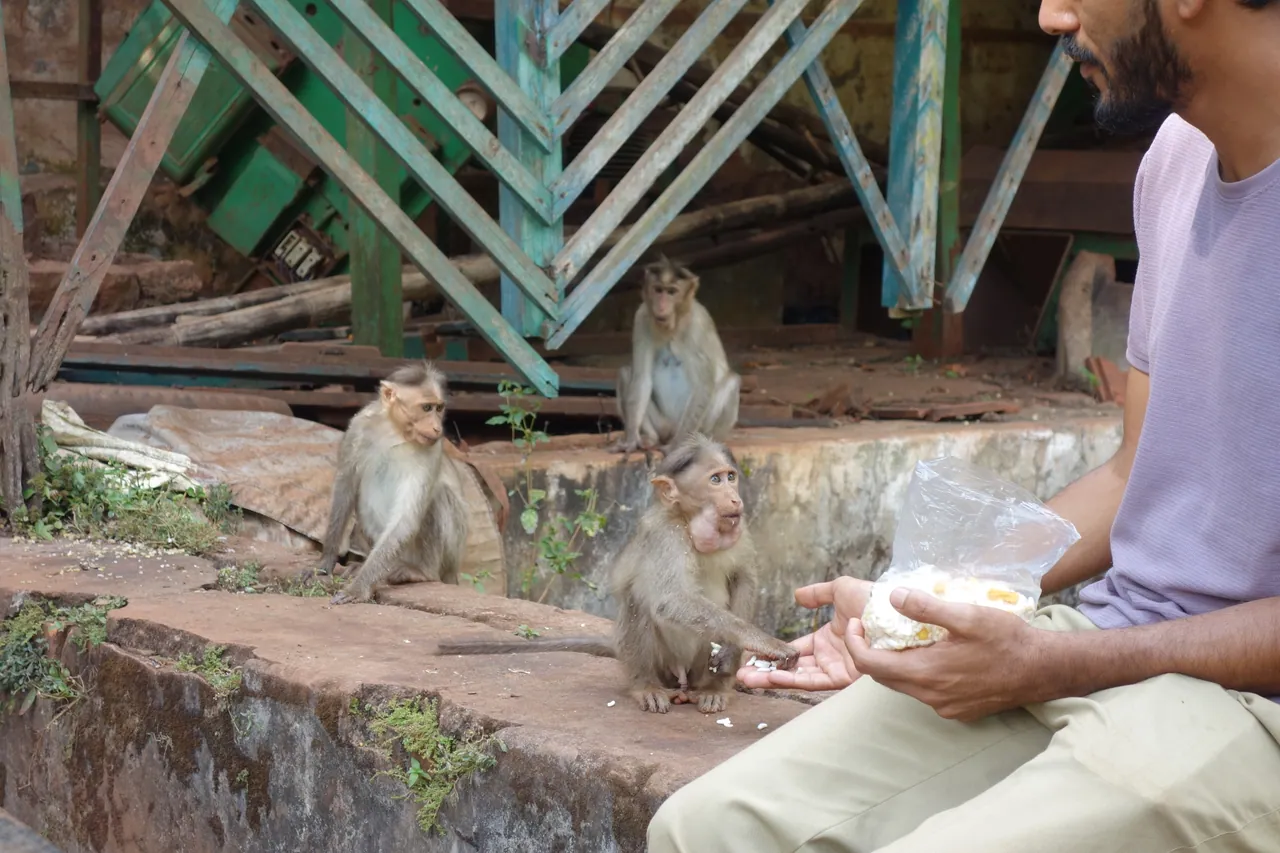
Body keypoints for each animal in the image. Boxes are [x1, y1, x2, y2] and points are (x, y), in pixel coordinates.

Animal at [314, 361, 469, 606]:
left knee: (438, 496)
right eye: (426, 408)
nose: (437, 428)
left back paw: (421, 572)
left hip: (450, 556)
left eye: (439, 408)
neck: (395, 432)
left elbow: (406, 518)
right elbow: (345, 488)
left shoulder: (433, 448)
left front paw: (358, 588)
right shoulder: (358, 426)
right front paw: (326, 562)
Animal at [435, 433, 798, 714]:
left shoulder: (741, 527)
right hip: (658, 662)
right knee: (639, 601)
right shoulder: (665, 533)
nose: (734, 498)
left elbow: (744, 578)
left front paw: (735, 650)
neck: (689, 521)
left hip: (695, 665)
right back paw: (645, 686)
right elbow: (670, 600)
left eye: (730, 476)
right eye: (715, 480)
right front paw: (764, 640)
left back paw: (715, 689)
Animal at [611, 256, 741, 455]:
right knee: (626, 373)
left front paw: (677, 445)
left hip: (698, 424)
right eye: (658, 290)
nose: (661, 305)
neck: (672, 325)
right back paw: (650, 438)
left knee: (731, 381)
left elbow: (703, 385)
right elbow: (642, 378)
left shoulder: (696, 325)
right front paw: (631, 439)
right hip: (663, 424)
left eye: (672, 292)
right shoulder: (641, 317)